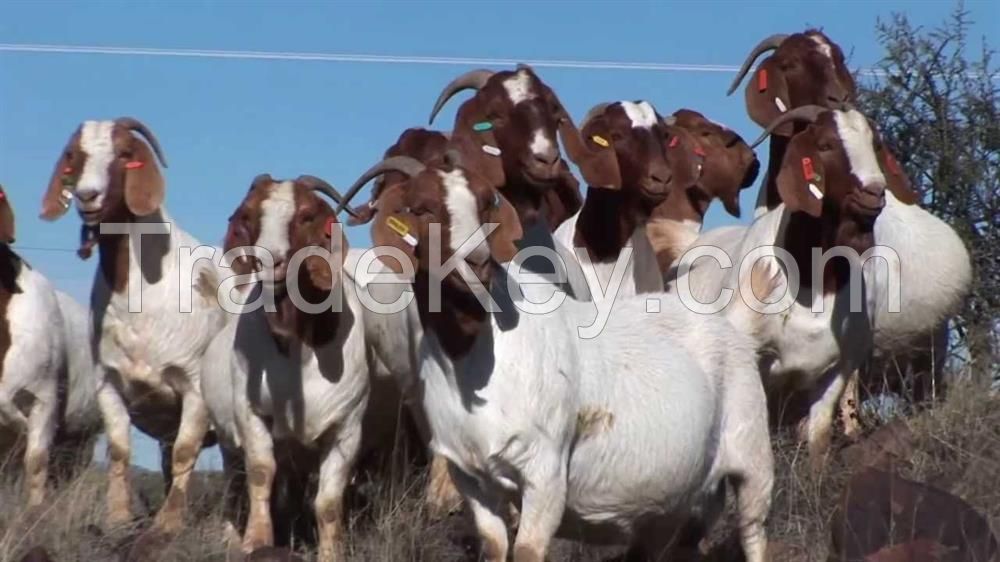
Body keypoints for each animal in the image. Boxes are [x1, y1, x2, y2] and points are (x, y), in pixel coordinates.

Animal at [37, 117, 227, 528]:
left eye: (125, 153)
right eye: (74, 155)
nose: (87, 196)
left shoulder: (195, 386)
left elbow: (186, 451)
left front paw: (169, 524)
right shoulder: (108, 382)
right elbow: (121, 450)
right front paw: (118, 516)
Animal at [344, 155, 772, 560]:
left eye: (485, 205)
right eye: (421, 208)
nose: (477, 262)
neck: (476, 358)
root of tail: (731, 327)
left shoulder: (545, 470)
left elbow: (528, 550)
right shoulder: (469, 477)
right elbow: (494, 545)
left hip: (752, 456)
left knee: (753, 531)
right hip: (676, 509)